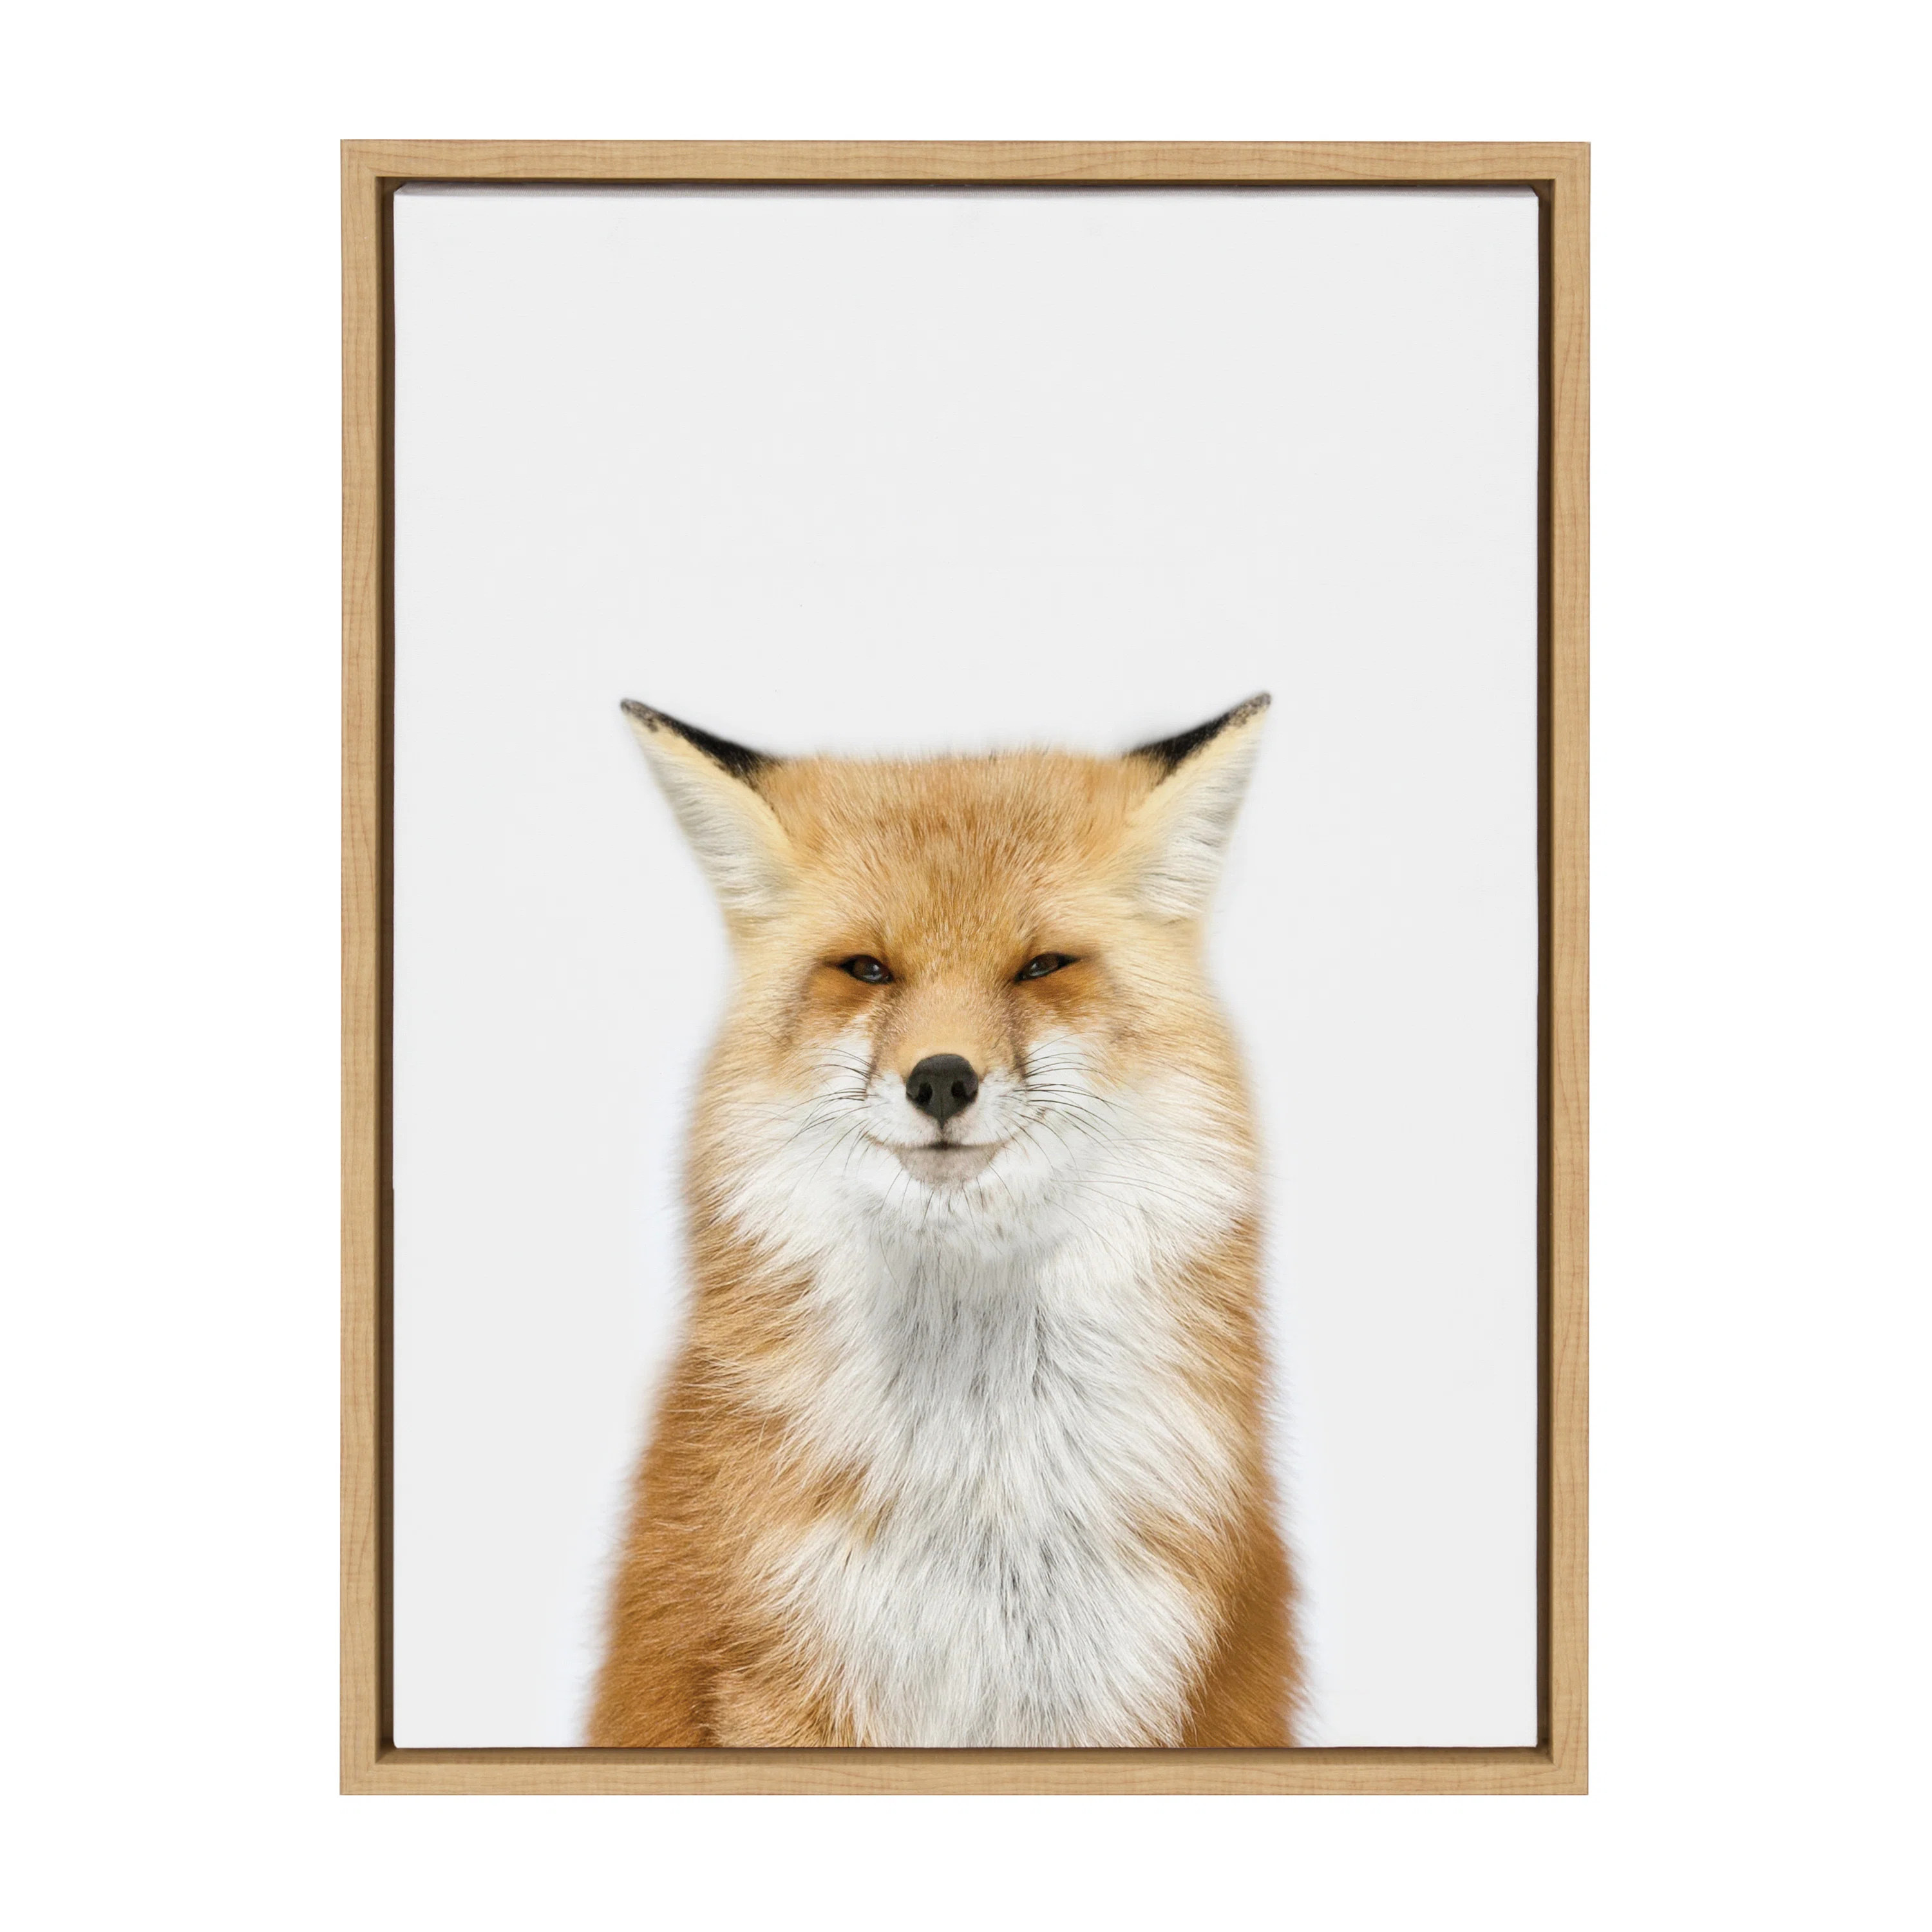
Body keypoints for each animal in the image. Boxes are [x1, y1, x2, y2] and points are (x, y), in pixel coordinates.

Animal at [588, 694, 1297, 1748]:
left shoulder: (1123, 1686)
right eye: (867, 970)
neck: (979, 1495)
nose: (941, 1080)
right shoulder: (784, 1675)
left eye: (1041, 966)